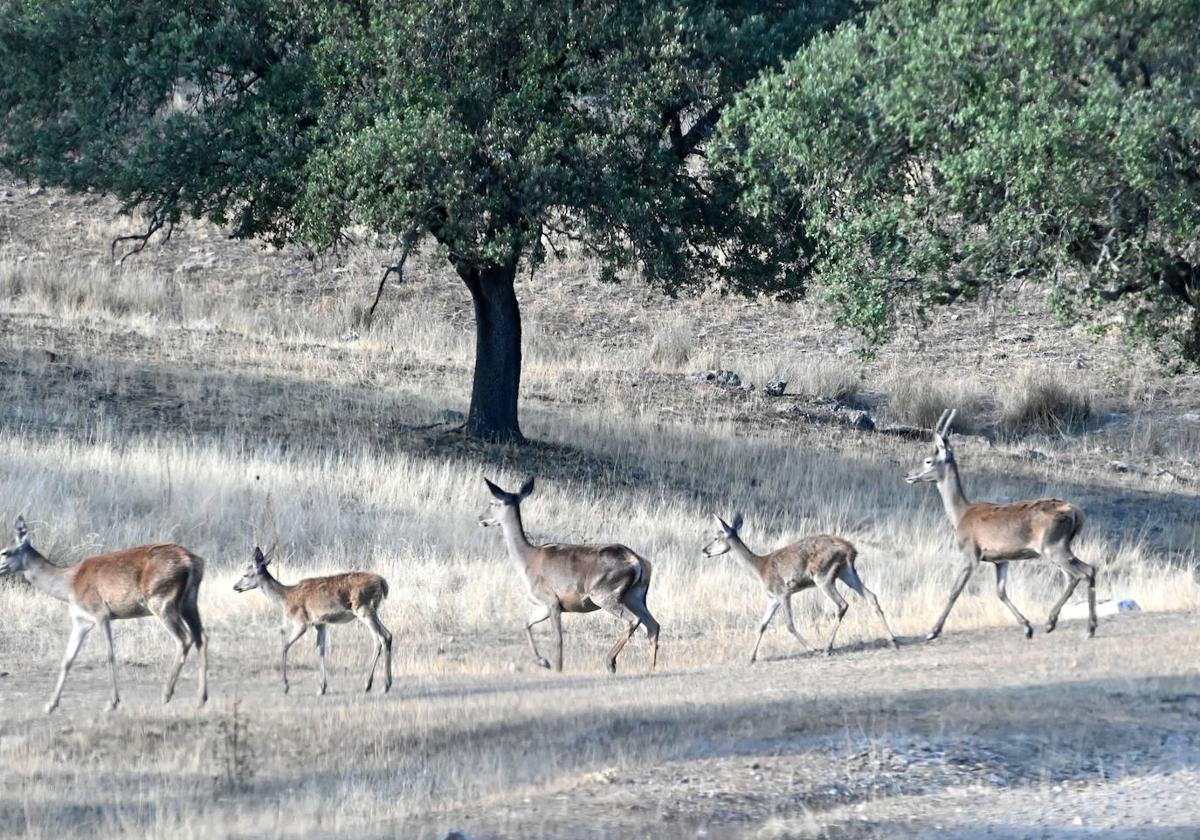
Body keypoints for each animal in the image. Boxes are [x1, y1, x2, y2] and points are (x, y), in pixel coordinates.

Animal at [0, 516, 206, 710]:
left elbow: (109, 654)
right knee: (201, 637)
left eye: (5, 552)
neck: (68, 586)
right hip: (189, 601)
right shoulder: (81, 620)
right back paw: (201, 698)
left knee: (184, 638)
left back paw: (166, 694)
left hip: (161, 600)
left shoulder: (101, 613)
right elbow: (68, 658)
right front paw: (51, 705)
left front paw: (113, 702)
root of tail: (193, 562)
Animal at [236, 544, 396, 696]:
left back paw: (376, 685)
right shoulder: (320, 623)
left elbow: (285, 646)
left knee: (380, 638)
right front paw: (322, 687)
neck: (285, 598)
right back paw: (382, 683)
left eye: (245, 574)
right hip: (372, 610)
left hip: (363, 608)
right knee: (387, 635)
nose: (235, 586)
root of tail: (383, 583)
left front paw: (286, 686)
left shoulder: (301, 622)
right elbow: (320, 649)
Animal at [475, 480, 662, 676]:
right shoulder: (544, 606)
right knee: (653, 625)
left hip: (604, 593)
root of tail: (639, 562)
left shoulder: (551, 600)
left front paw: (557, 667)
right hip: (635, 595)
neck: (526, 562)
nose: (480, 518)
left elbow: (558, 638)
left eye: (493, 502)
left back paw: (610, 661)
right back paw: (650, 668)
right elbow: (526, 623)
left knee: (634, 620)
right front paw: (543, 661)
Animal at [700, 511, 892, 662]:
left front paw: (812, 649)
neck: (759, 569)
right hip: (846, 571)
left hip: (823, 575)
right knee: (871, 596)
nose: (704, 550)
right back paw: (892, 640)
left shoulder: (783, 592)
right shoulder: (773, 598)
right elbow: (762, 624)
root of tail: (851, 549)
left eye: (716, 537)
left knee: (842, 604)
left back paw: (826, 648)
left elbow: (789, 625)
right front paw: (751, 657)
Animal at [902, 410, 1099, 638]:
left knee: (1083, 572)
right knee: (1082, 573)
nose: (908, 475)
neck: (960, 515)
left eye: (928, 461)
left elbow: (954, 591)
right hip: (1058, 546)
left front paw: (933, 631)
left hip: (1053, 545)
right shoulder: (1000, 559)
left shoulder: (970, 553)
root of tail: (1075, 512)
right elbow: (1001, 592)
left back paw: (1074, 626)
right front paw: (1026, 626)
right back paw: (1067, 623)